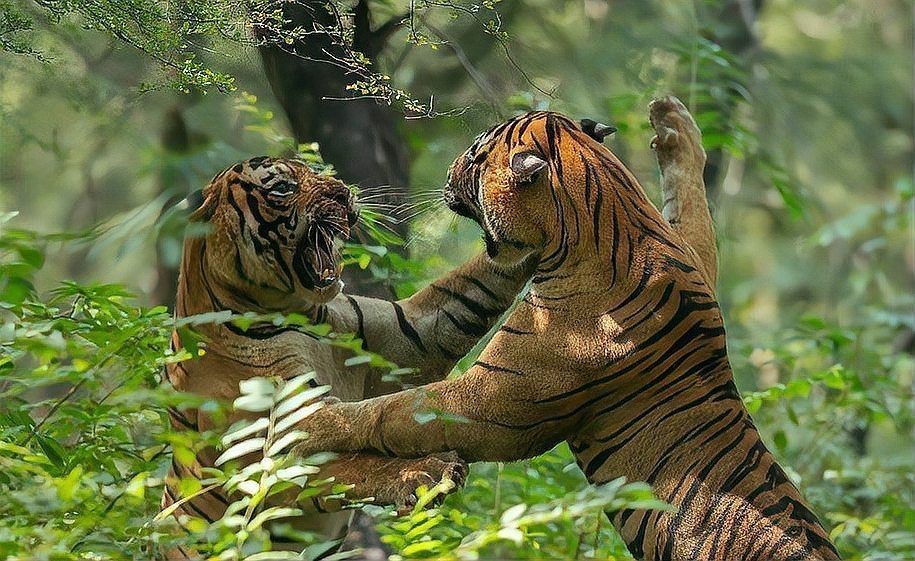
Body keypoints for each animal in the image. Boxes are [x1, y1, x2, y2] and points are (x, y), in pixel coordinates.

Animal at [161, 155, 538, 558]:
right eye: (282, 188)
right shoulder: (269, 453)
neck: (299, 316)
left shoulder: (410, 336)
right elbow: (349, 465)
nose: (344, 194)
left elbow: (476, 282)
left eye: (315, 172)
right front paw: (422, 472)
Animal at [284, 97, 842, 561]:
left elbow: (392, 411)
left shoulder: (495, 403)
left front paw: (309, 424)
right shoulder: (694, 255)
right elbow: (691, 207)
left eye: (475, 155)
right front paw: (673, 123)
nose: (447, 172)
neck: (610, 214)